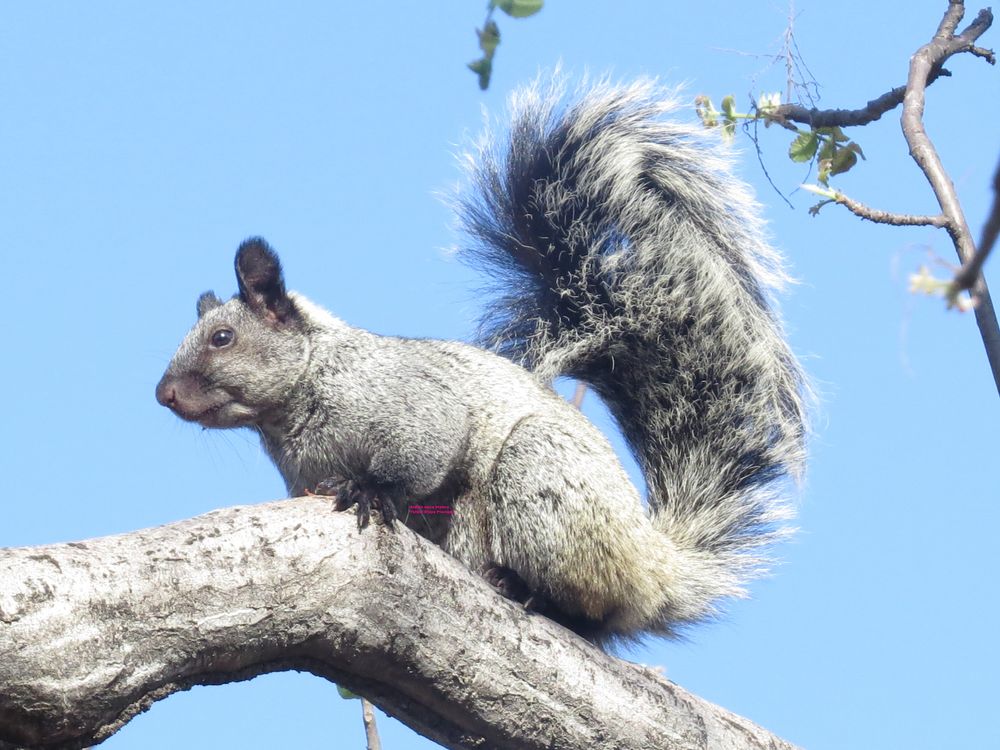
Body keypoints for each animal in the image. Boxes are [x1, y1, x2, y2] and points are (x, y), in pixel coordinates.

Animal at [160, 81, 808, 648]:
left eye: (221, 337)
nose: (163, 394)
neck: (297, 405)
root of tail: (655, 566)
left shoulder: (408, 401)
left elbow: (421, 451)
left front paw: (370, 488)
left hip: (540, 473)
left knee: (590, 610)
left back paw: (529, 591)